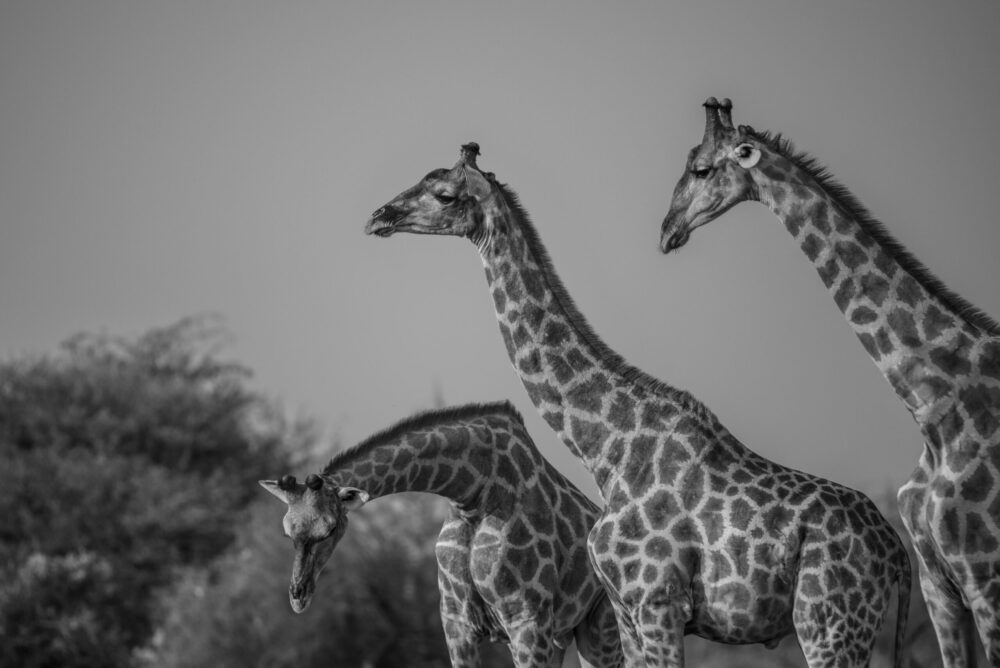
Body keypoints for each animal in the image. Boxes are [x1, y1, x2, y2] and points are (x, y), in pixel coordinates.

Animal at [258, 402, 620, 668]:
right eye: (287, 532)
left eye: (331, 527)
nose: (298, 597)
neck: (474, 496)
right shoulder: (456, 623)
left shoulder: (526, 621)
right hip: (560, 636)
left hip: (600, 627)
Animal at [364, 144, 912, 664]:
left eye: (444, 195)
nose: (378, 217)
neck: (606, 449)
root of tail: (896, 552)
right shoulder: (624, 611)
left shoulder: (657, 602)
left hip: (829, 620)